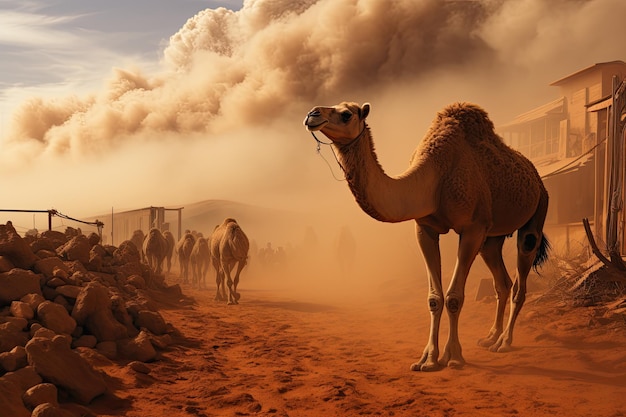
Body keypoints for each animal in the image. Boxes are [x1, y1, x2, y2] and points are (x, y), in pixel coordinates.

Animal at [304, 101, 548, 370]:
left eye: (346, 114)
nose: (312, 114)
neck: (434, 177)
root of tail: (536, 176)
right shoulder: (424, 227)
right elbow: (434, 298)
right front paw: (428, 360)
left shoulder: (472, 228)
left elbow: (453, 297)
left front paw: (454, 357)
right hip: (492, 236)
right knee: (501, 281)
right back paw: (490, 337)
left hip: (536, 213)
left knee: (520, 278)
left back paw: (504, 342)